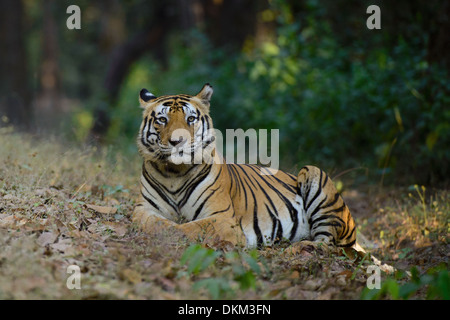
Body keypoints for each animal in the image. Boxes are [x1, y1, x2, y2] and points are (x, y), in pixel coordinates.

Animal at [132, 84, 364, 254]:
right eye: (163, 119)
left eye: (190, 119)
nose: (177, 142)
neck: (175, 174)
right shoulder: (142, 209)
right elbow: (155, 223)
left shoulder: (222, 217)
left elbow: (191, 227)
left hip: (315, 175)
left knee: (330, 243)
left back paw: (298, 247)